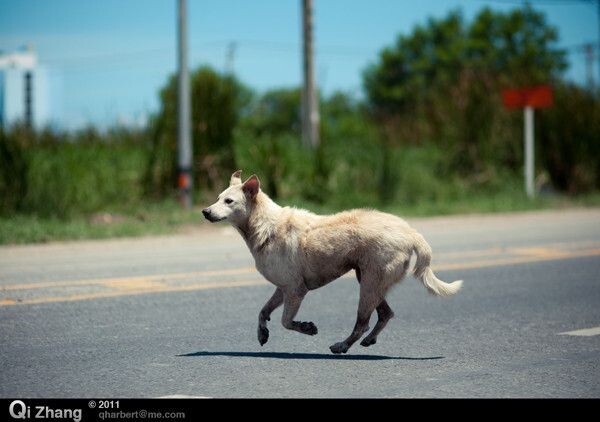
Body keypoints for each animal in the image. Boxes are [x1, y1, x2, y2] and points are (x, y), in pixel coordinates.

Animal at [203, 171, 464, 352]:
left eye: (229, 201)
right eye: (217, 198)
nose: (205, 211)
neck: (266, 225)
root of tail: (411, 232)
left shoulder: (296, 290)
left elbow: (286, 321)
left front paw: (306, 328)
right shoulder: (283, 288)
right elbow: (262, 311)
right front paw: (262, 333)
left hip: (369, 284)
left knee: (363, 323)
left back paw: (343, 345)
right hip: (368, 281)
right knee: (385, 315)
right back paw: (368, 340)